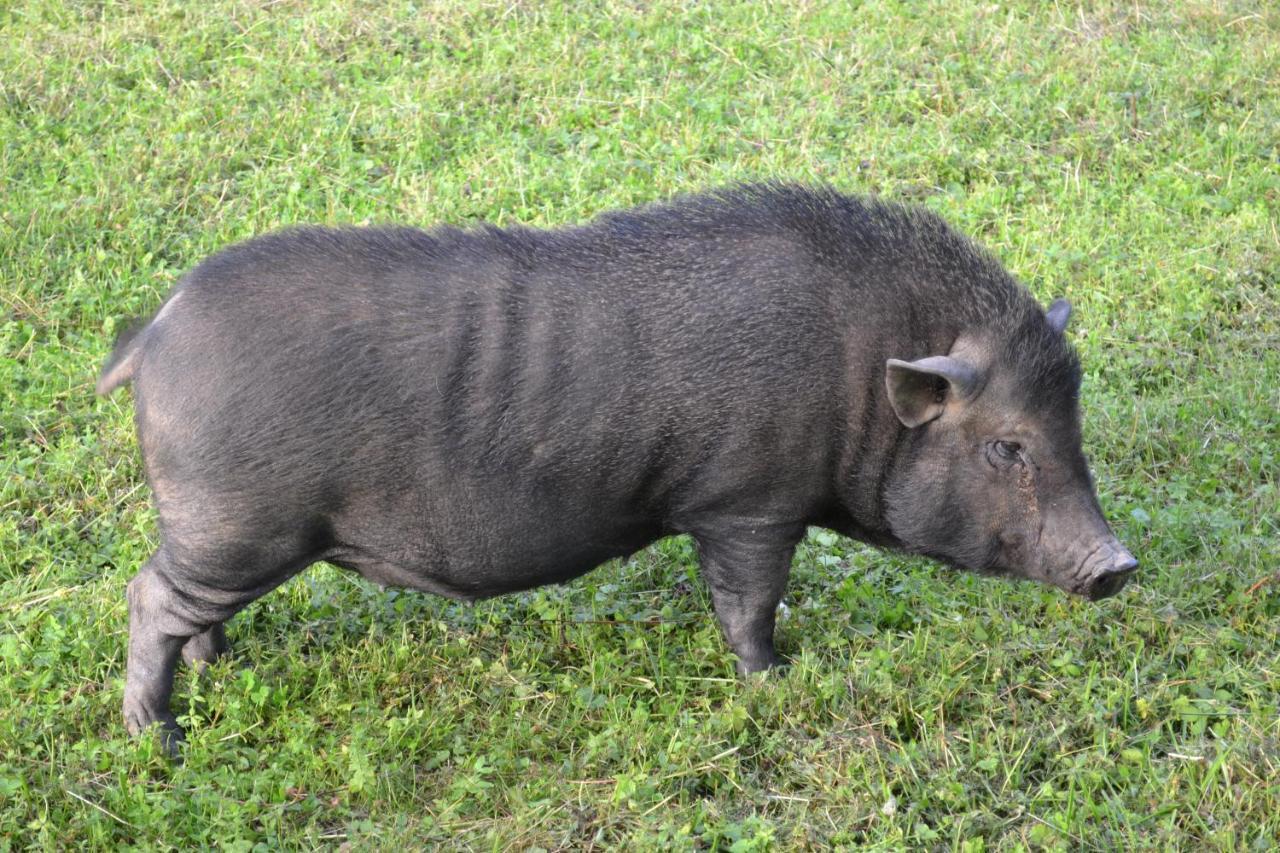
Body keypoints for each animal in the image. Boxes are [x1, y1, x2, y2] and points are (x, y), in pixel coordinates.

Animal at [102, 183, 1141, 742]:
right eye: (1007, 444)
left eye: (1072, 423)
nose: (1119, 565)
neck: (862, 369)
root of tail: (153, 333)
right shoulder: (747, 501)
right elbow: (749, 603)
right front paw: (776, 681)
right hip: (236, 523)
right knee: (147, 597)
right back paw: (162, 739)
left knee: (187, 609)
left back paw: (222, 668)